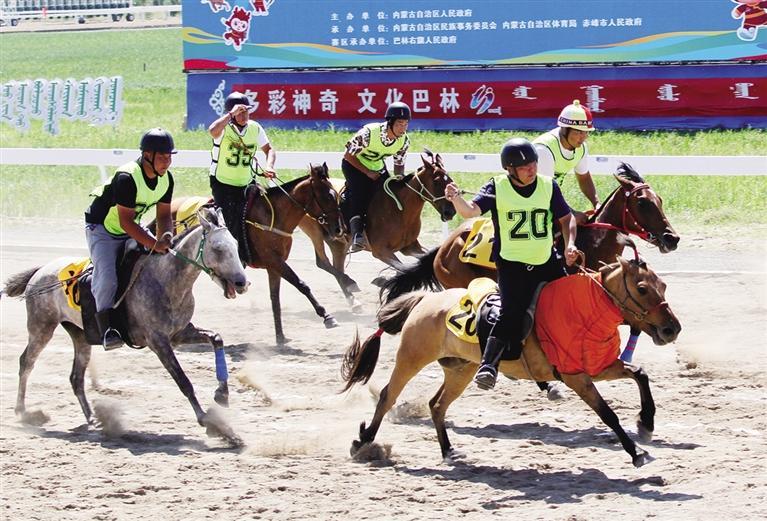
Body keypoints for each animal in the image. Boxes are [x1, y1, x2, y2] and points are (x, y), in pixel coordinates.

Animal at [3, 207, 249, 440]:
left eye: (236, 245)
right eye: (218, 248)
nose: (242, 283)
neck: (165, 279)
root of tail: (40, 271)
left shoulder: (179, 334)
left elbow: (217, 339)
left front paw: (222, 395)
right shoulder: (158, 341)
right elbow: (183, 381)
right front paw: (211, 424)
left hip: (80, 336)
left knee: (76, 377)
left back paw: (93, 419)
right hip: (41, 328)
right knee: (26, 363)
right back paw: (24, 413)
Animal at [170, 163, 345, 345]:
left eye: (336, 195)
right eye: (328, 196)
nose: (338, 229)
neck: (272, 216)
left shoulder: (274, 266)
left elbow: (275, 298)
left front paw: (280, 336)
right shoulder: (274, 260)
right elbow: (301, 284)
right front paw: (327, 316)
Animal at [297, 150, 456, 312]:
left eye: (449, 178)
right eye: (436, 181)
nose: (450, 211)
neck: (399, 210)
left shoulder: (410, 247)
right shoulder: (380, 251)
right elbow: (402, 267)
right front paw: (384, 281)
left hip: (338, 243)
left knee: (337, 266)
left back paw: (353, 300)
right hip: (316, 233)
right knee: (323, 263)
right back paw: (350, 285)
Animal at [341, 255, 681, 467]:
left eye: (663, 286)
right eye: (642, 288)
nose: (672, 328)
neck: (584, 308)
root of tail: (425, 299)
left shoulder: (598, 367)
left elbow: (640, 373)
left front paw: (646, 422)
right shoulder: (577, 377)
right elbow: (608, 414)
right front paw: (636, 452)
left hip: (461, 370)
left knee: (437, 405)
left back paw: (449, 451)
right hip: (412, 357)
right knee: (388, 396)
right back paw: (363, 442)